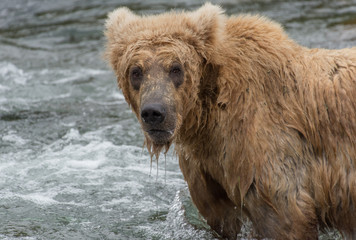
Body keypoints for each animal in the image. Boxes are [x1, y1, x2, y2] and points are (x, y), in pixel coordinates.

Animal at [104, 3, 356, 240]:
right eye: (136, 71)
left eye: (176, 68)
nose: (154, 112)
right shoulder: (210, 168)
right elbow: (222, 218)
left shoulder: (265, 149)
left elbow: (286, 218)